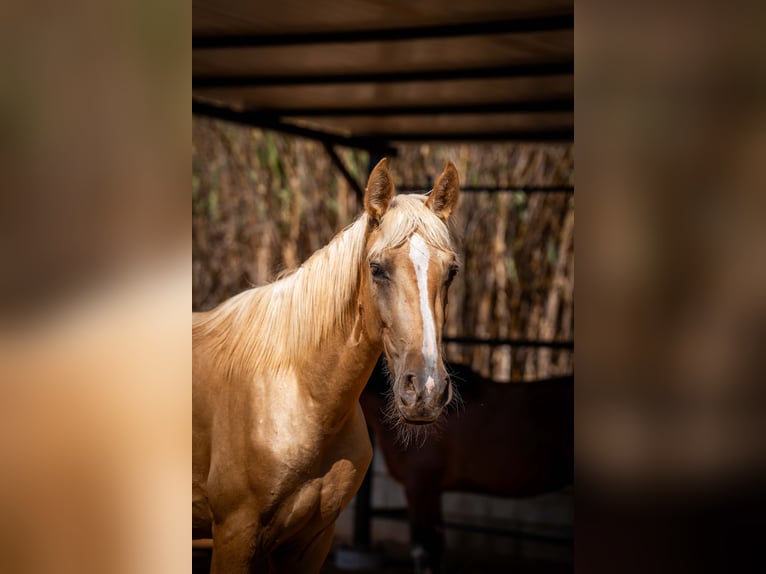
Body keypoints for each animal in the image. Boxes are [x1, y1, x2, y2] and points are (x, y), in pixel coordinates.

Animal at [195, 160, 462, 572]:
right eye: (377, 268)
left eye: (451, 271)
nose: (426, 390)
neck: (301, 397)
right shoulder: (234, 535)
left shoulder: (312, 540)